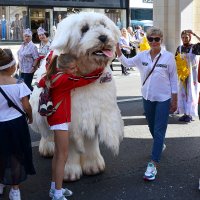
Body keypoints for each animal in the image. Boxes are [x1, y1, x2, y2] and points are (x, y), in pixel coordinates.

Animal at [30, 12, 123, 181]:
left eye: (103, 25)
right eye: (84, 29)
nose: (103, 37)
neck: (83, 76)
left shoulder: (93, 112)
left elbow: (91, 140)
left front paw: (93, 166)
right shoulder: (70, 118)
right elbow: (70, 145)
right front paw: (70, 172)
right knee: (46, 132)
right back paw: (48, 148)